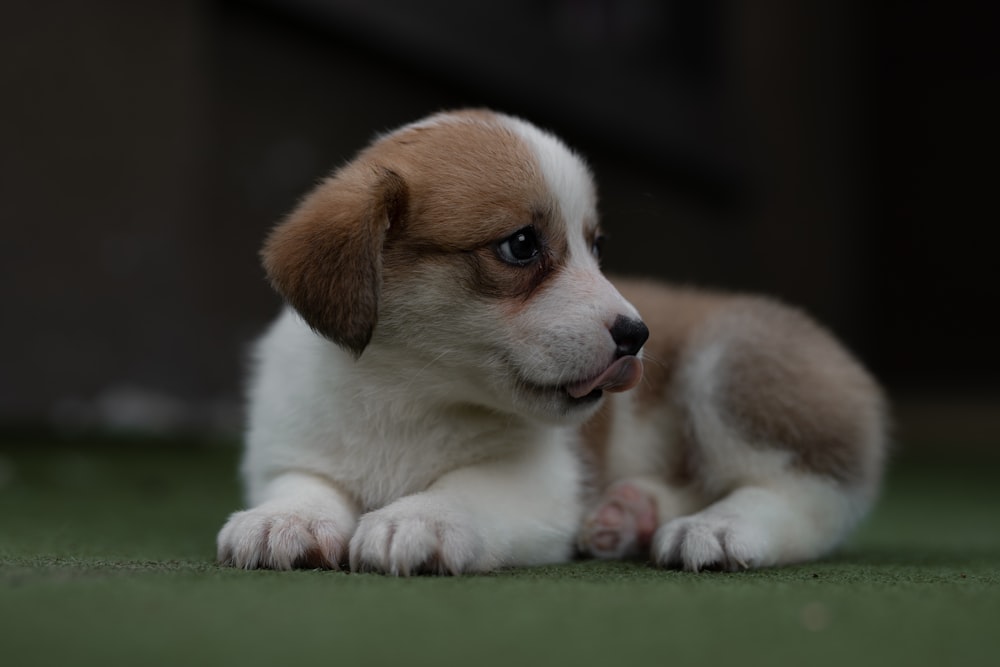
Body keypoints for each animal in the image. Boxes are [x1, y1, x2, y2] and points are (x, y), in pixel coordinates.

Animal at [215, 108, 888, 576]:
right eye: (520, 245)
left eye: (597, 245)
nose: (638, 336)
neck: (408, 394)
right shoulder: (289, 451)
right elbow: (306, 485)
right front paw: (284, 522)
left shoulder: (537, 483)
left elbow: (463, 490)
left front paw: (417, 518)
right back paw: (630, 515)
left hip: (734, 358)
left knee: (808, 493)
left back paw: (718, 529)